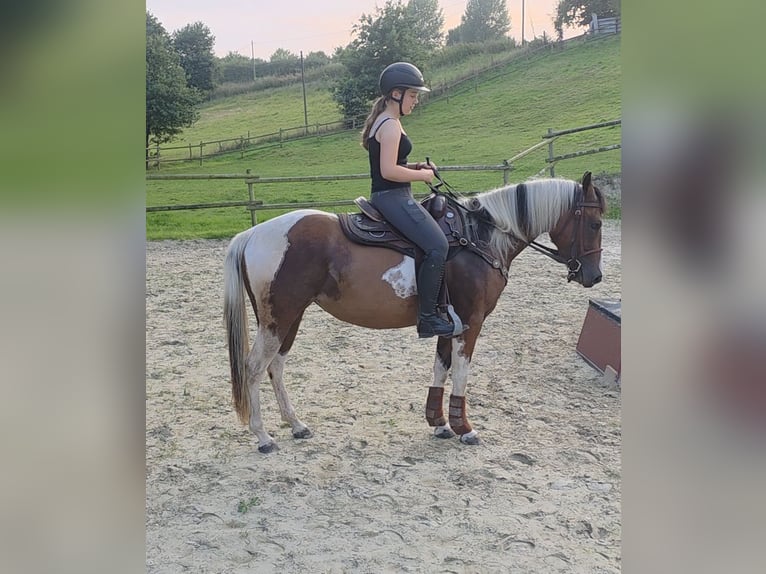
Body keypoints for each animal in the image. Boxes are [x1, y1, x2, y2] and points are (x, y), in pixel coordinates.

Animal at [223, 171, 605, 453]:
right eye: (595, 224)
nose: (594, 276)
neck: (479, 238)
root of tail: (252, 234)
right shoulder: (471, 322)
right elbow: (461, 373)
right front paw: (464, 428)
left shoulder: (447, 323)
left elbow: (441, 368)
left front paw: (439, 423)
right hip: (279, 318)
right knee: (254, 368)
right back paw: (263, 437)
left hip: (289, 317)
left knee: (276, 366)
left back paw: (296, 424)